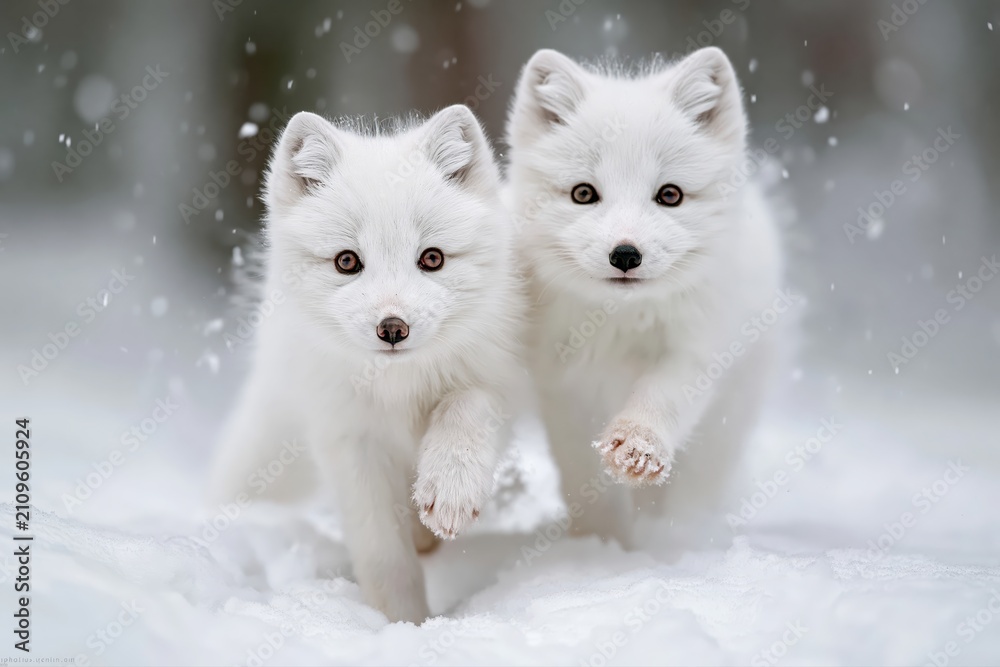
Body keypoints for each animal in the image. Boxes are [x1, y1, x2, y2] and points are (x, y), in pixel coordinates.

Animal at [209, 105, 524, 623]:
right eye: (346, 261)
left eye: (431, 258)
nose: (393, 328)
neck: (398, 388)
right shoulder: (349, 438)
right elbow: (381, 549)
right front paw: (400, 621)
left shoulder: (498, 378)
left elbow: (464, 408)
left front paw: (450, 490)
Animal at [505, 47, 785, 547]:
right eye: (583, 193)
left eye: (669, 195)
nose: (625, 254)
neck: (619, 326)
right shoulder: (563, 387)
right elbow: (582, 477)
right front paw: (601, 543)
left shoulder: (697, 351)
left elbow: (661, 399)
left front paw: (636, 446)